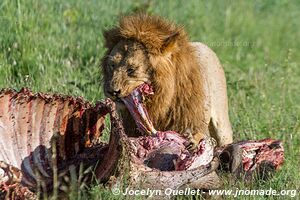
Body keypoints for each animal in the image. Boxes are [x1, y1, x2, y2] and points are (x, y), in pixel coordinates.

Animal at [101, 13, 232, 146]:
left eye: (131, 69)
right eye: (112, 65)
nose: (112, 91)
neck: (159, 100)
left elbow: (199, 133)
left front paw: (193, 141)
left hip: (222, 125)